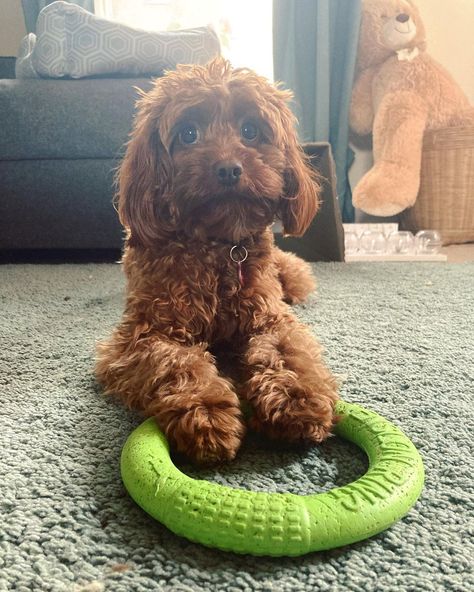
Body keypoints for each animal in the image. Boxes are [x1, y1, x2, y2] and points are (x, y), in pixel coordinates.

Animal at [96, 57, 338, 464]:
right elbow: (178, 362)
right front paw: (206, 411)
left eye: (251, 130)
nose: (228, 169)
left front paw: (296, 398)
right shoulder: (142, 336)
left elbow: (286, 352)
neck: (220, 248)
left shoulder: (270, 318)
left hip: (294, 277)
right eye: (188, 133)